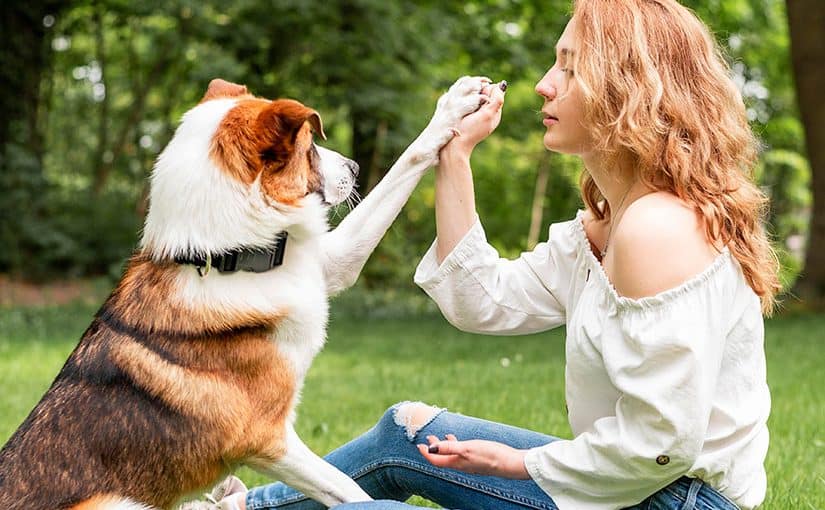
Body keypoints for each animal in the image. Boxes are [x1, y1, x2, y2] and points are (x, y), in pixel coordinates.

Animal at [0, 73, 490, 508]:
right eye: (309, 147)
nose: (353, 167)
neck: (225, 259)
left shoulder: (330, 264)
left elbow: (403, 166)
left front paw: (457, 107)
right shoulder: (269, 440)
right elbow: (353, 492)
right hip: (117, 503)